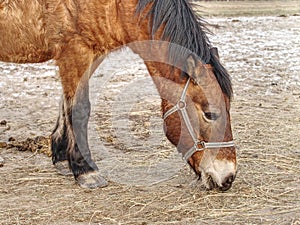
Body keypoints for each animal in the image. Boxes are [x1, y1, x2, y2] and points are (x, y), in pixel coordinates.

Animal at [1, 0, 238, 191]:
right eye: (210, 114)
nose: (228, 178)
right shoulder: (75, 52)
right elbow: (79, 109)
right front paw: (86, 172)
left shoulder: (91, 57)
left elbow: (65, 105)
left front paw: (61, 159)